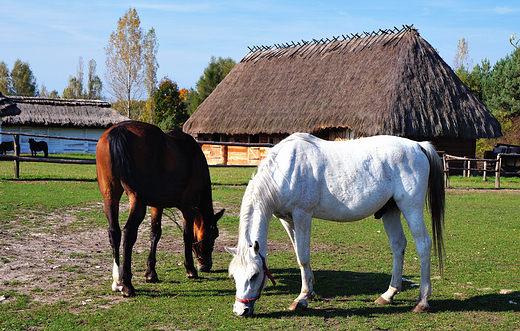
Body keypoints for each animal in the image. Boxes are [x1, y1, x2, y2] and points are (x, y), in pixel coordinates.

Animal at [95, 122, 223, 298]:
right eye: (214, 235)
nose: (206, 265)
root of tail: (118, 129)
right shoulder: (188, 207)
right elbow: (187, 236)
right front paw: (190, 269)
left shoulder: (157, 205)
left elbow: (155, 234)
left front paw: (151, 273)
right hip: (137, 201)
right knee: (128, 233)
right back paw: (127, 284)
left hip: (110, 196)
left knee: (114, 232)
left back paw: (117, 281)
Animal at [225, 134, 444, 318]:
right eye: (233, 275)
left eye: (254, 275)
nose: (240, 311)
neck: (284, 171)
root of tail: (417, 146)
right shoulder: (287, 220)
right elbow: (298, 255)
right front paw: (310, 291)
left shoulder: (302, 215)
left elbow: (303, 256)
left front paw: (302, 298)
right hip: (390, 211)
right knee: (398, 246)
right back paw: (388, 294)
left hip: (411, 207)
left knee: (423, 245)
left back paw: (422, 301)